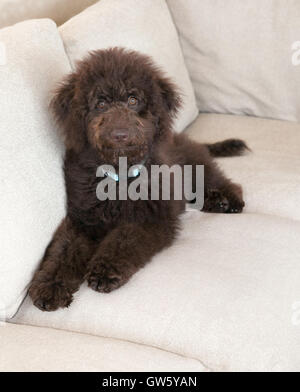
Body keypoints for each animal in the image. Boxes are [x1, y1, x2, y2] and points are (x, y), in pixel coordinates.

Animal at [29, 47, 247, 310]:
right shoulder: (82, 218)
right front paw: (50, 285)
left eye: (133, 100)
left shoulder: (151, 217)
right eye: (100, 103)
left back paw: (227, 200)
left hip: (196, 166)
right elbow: (63, 251)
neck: (119, 178)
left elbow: (123, 240)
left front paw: (104, 271)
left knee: (220, 179)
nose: (120, 134)